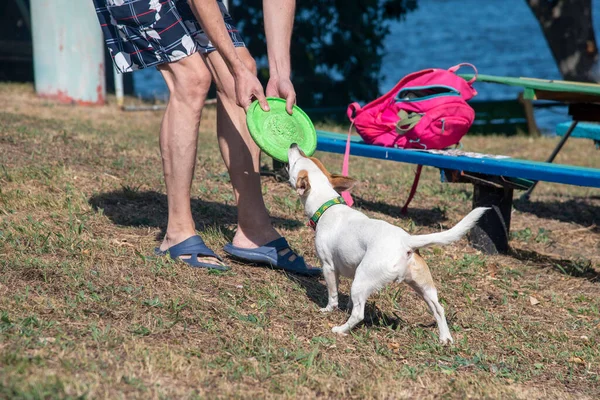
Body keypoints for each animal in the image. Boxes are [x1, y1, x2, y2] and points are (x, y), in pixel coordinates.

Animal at [286, 145, 488, 344]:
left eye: (296, 161)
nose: (294, 145)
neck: (327, 205)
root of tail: (406, 240)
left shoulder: (328, 266)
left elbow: (333, 294)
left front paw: (328, 309)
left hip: (363, 280)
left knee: (359, 314)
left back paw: (341, 329)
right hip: (422, 286)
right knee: (438, 308)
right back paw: (445, 338)